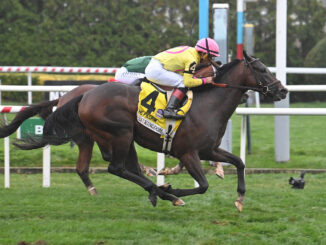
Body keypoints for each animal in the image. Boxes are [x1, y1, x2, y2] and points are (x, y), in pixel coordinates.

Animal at [11, 51, 286, 211]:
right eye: (262, 69)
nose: (282, 90)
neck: (209, 104)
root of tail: (82, 96)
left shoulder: (210, 149)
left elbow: (239, 162)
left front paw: (239, 198)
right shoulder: (188, 152)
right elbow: (203, 185)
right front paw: (174, 189)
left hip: (118, 137)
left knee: (123, 167)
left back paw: (155, 190)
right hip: (119, 134)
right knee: (116, 167)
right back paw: (162, 192)